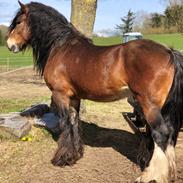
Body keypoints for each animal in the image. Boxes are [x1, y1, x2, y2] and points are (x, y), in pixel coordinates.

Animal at [6, 1, 183, 182]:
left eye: (18, 22)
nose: (10, 44)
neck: (62, 47)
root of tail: (169, 52)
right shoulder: (74, 97)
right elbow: (74, 122)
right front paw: (74, 154)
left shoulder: (60, 94)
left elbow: (65, 124)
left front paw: (61, 158)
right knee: (163, 135)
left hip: (149, 105)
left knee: (160, 134)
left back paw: (151, 175)